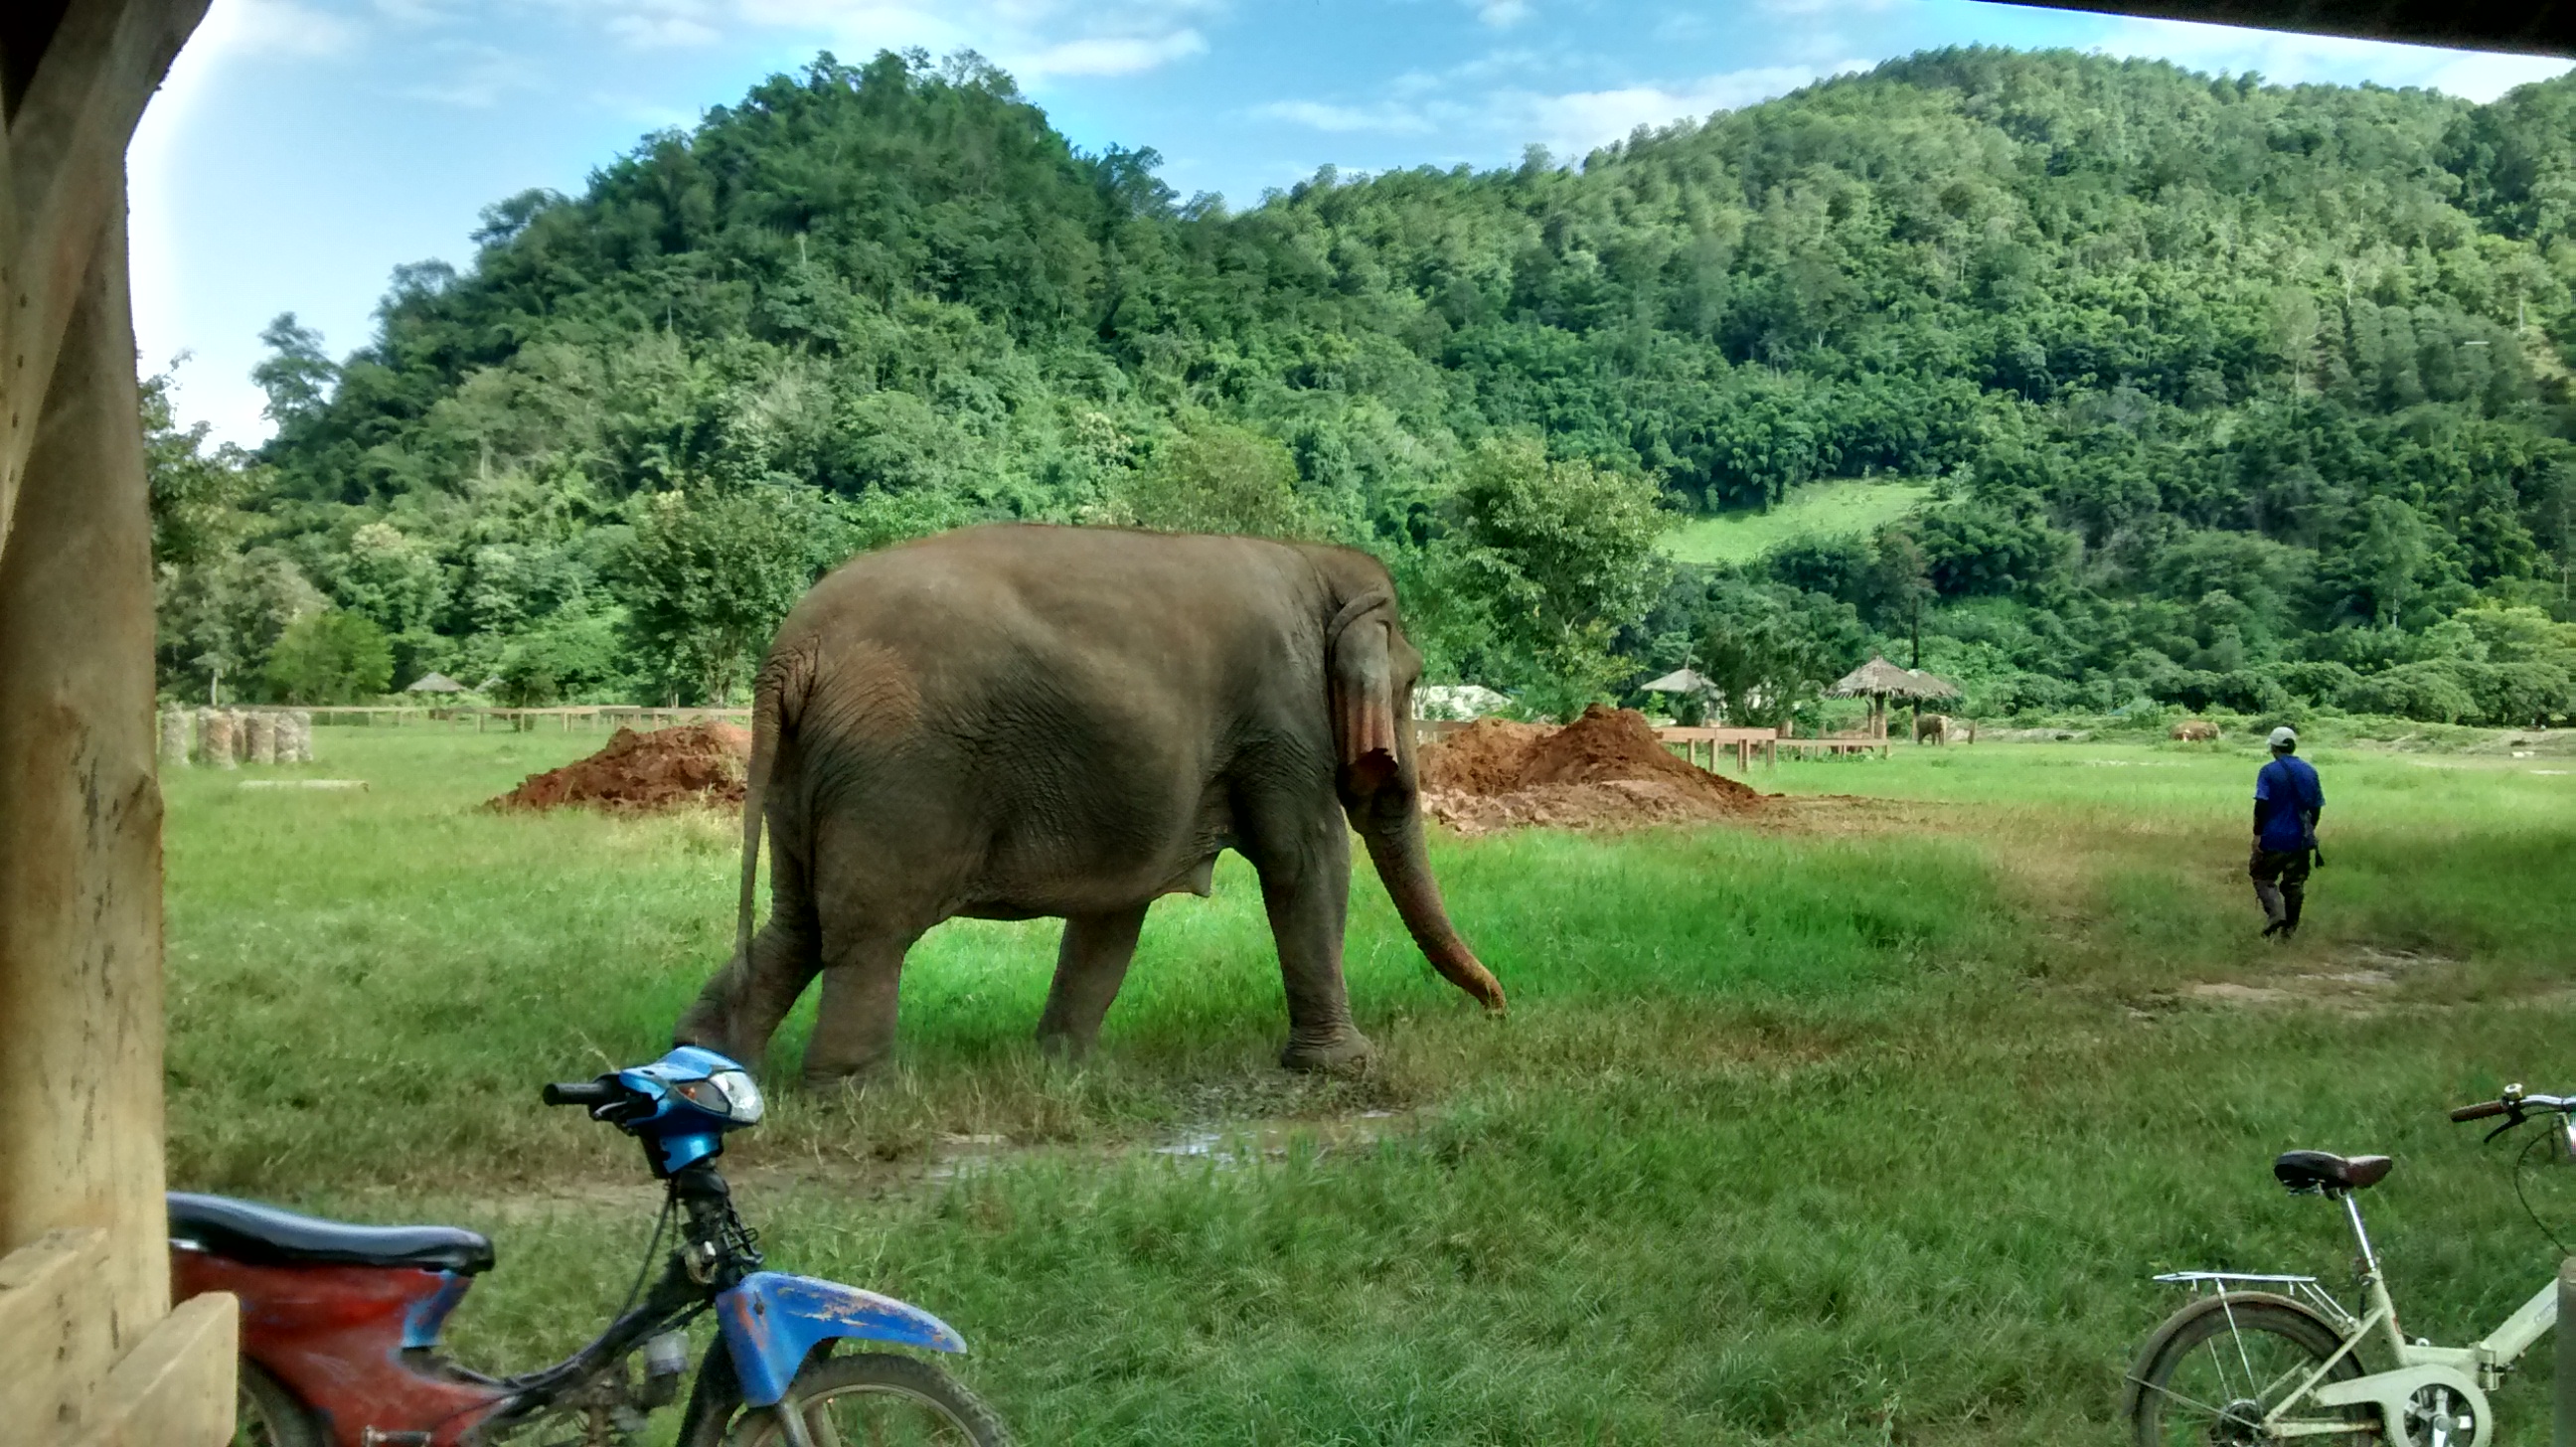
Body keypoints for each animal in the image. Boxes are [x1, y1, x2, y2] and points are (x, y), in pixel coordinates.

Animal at [675, 520, 1504, 1081]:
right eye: (1410, 685)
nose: (1499, 1004)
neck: (1311, 561)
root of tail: (791, 652)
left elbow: (1116, 910)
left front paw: (1064, 1069)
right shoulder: (1282, 722)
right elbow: (1308, 863)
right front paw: (1345, 1067)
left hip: (805, 774)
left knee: (797, 926)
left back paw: (703, 1071)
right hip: (892, 771)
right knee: (868, 933)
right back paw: (855, 1092)